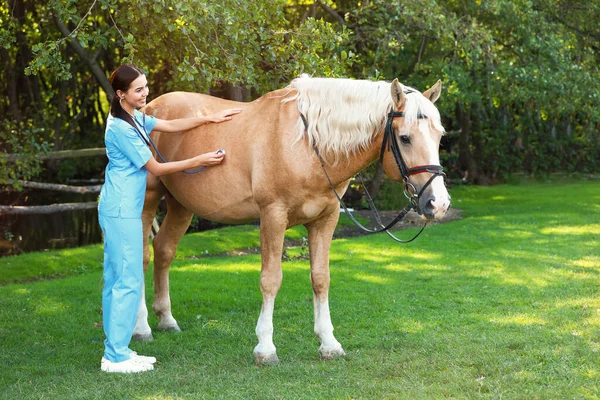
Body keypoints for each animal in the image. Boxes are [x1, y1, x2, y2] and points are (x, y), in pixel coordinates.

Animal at [132, 73, 450, 364]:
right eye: (405, 137)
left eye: (439, 136)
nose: (439, 203)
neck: (307, 144)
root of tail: (149, 111)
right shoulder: (273, 216)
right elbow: (271, 280)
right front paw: (265, 348)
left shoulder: (325, 220)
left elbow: (321, 278)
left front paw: (329, 343)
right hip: (147, 202)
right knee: (142, 256)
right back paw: (142, 327)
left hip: (180, 206)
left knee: (164, 251)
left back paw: (166, 319)